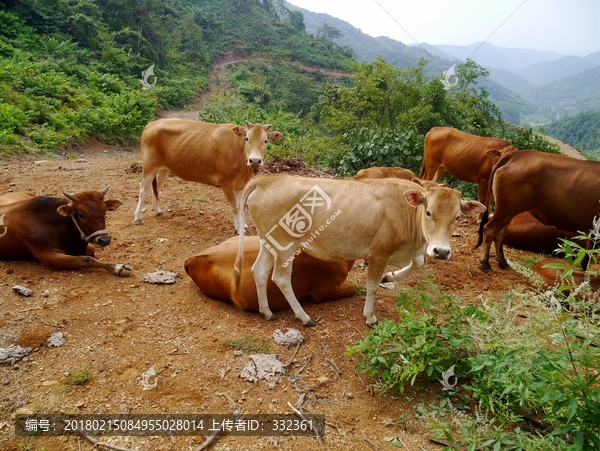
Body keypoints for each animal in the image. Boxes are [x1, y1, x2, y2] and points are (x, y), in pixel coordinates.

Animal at [0, 187, 131, 276]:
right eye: (81, 215)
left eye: (104, 211)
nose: (105, 240)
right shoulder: (49, 257)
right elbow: (86, 259)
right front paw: (118, 267)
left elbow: (90, 253)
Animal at [133, 118, 282, 235]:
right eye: (247, 139)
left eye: (265, 141)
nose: (255, 160)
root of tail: (151, 124)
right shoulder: (226, 182)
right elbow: (234, 207)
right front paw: (239, 229)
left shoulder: (241, 184)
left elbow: (240, 207)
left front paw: (243, 225)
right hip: (149, 166)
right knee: (143, 190)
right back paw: (137, 217)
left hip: (164, 168)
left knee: (156, 187)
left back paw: (158, 211)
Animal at [232, 175, 486, 326]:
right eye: (429, 212)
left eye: (457, 217)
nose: (441, 251)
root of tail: (267, 178)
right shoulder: (379, 254)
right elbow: (372, 286)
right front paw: (370, 316)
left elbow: (419, 262)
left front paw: (390, 276)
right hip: (286, 245)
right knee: (281, 278)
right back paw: (304, 317)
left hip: (269, 241)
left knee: (259, 271)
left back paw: (266, 312)